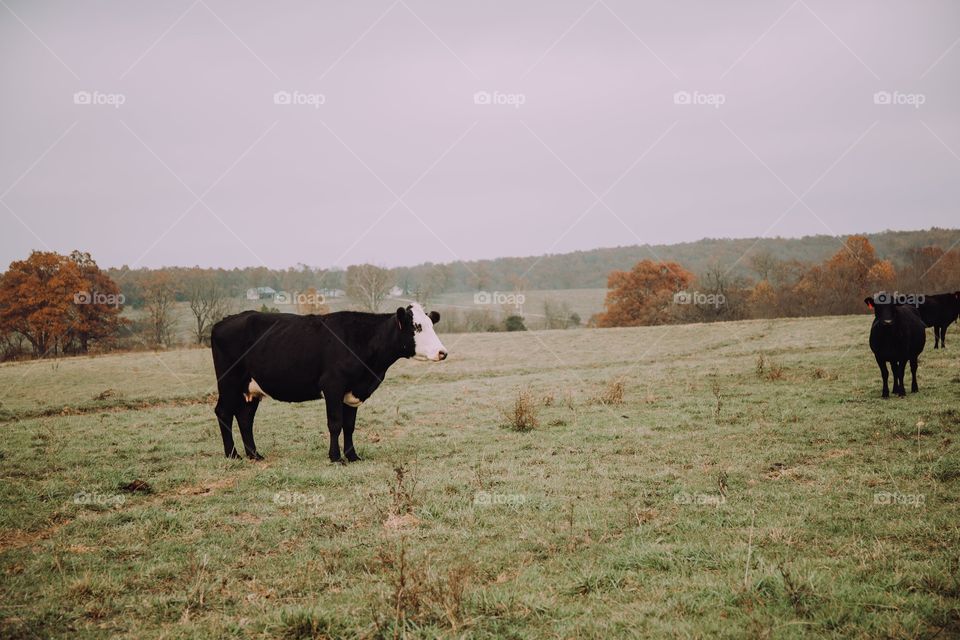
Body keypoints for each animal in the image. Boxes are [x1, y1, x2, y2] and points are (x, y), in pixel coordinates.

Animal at [210, 303, 447, 462]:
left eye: (430, 325)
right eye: (417, 327)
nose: (442, 352)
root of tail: (225, 321)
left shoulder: (353, 391)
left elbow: (349, 426)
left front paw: (353, 456)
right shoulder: (333, 385)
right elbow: (335, 423)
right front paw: (335, 457)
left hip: (250, 388)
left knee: (245, 418)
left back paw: (254, 454)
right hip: (228, 382)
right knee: (224, 412)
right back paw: (232, 455)